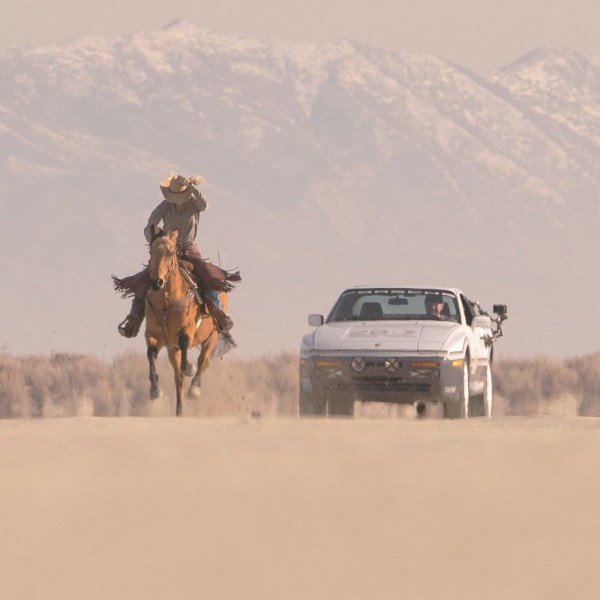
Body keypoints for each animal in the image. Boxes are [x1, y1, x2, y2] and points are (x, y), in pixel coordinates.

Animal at [145, 226, 226, 416]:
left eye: (170, 252)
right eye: (151, 251)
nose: (157, 282)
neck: (166, 303)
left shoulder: (187, 330)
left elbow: (184, 343)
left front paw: (189, 367)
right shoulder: (152, 334)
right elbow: (151, 354)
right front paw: (155, 390)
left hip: (212, 336)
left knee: (203, 360)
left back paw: (194, 389)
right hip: (171, 350)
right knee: (178, 379)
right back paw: (179, 410)